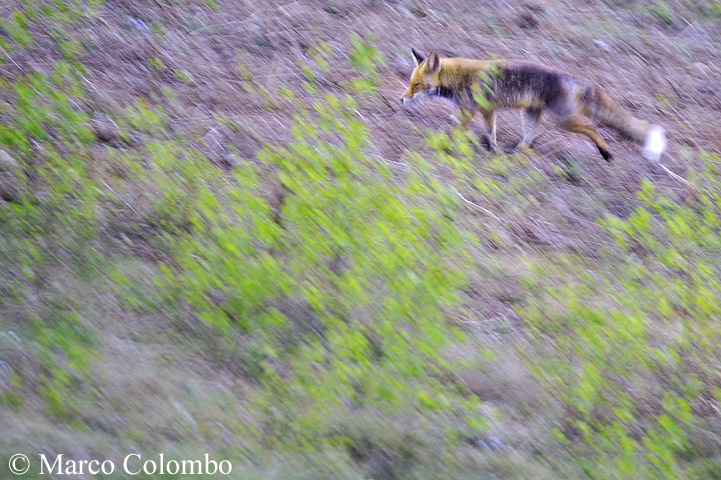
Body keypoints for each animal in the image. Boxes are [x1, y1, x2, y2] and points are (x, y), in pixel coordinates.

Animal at [400, 49, 664, 162]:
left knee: (592, 129)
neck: (459, 80)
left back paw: (605, 153)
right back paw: (516, 151)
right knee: (536, 133)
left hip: (562, 120)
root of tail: (575, 78)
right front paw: (493, 150)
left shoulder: (473, 111)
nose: (401, 99)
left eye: (416, 85)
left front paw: (439, 141)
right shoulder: (487, 111)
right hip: (530, 115)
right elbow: (489, 133)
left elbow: (453, 127)